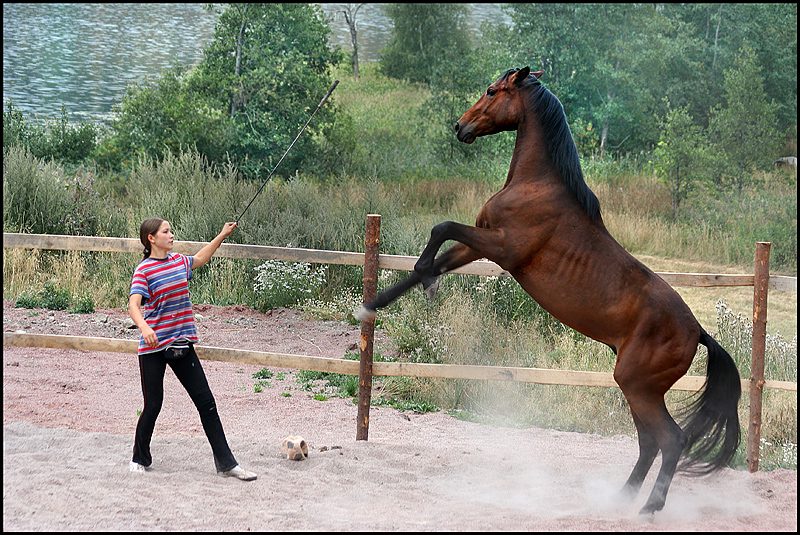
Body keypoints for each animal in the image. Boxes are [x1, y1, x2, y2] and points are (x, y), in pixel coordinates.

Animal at [356, 67, 744, 516]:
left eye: (492, 91)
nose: (460, 127)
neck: (537, 185)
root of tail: (698, 332)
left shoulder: (502, 247)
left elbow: (441, 229)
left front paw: (425, 280)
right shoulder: (480, 244)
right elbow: (437, 253)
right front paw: (372, 305)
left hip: (638, 386)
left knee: (671, 439)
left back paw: (649, 507)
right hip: (639, 389)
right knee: (650, 442)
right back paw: (621, 497)